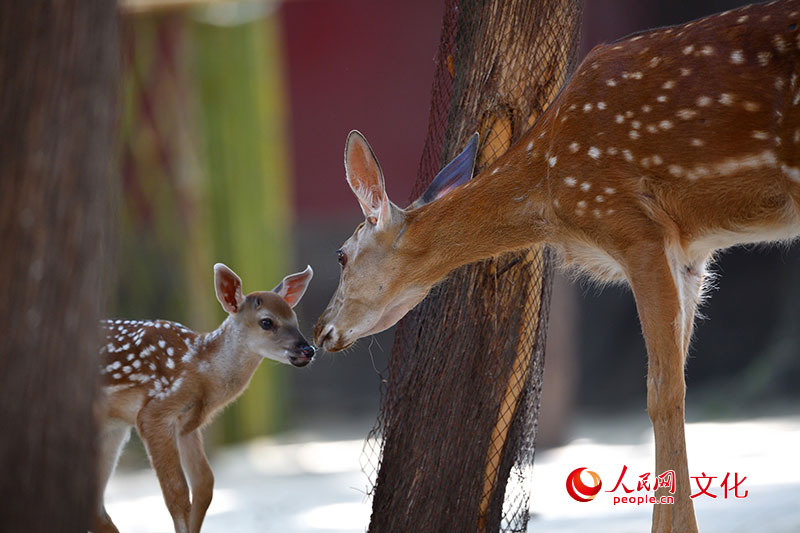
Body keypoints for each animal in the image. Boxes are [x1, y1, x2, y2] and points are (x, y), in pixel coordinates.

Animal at [95, 262, 314, 532]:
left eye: (295, 319)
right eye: (266, 322)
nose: (308, 350)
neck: (201, 372)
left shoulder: (187, 425)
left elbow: (204, 485)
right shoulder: (154, 412)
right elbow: (177, 492)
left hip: (113, 429)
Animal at [316, 2, 800, 528]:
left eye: (341, 256)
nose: (319, 331)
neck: (551, 193)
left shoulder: (631, 225)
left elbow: (663, 394)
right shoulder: (691, 252)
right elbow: (677, 387)